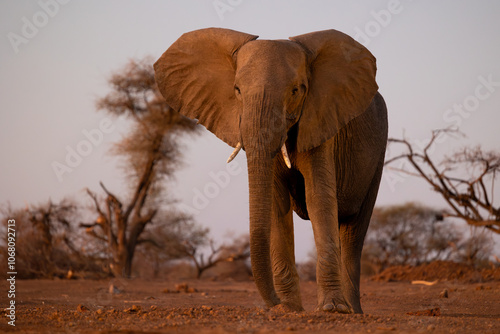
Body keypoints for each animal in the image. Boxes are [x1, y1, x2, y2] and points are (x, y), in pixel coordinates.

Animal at [154, 27, 388, 314]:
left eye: (296, 91)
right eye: (237, 90)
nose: (273, 305)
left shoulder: (320, 119)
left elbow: (319, 199)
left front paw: (332, 309)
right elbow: (276, 203)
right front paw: (290, 309)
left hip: (378, 152)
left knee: (354, 231)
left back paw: (353, 311)